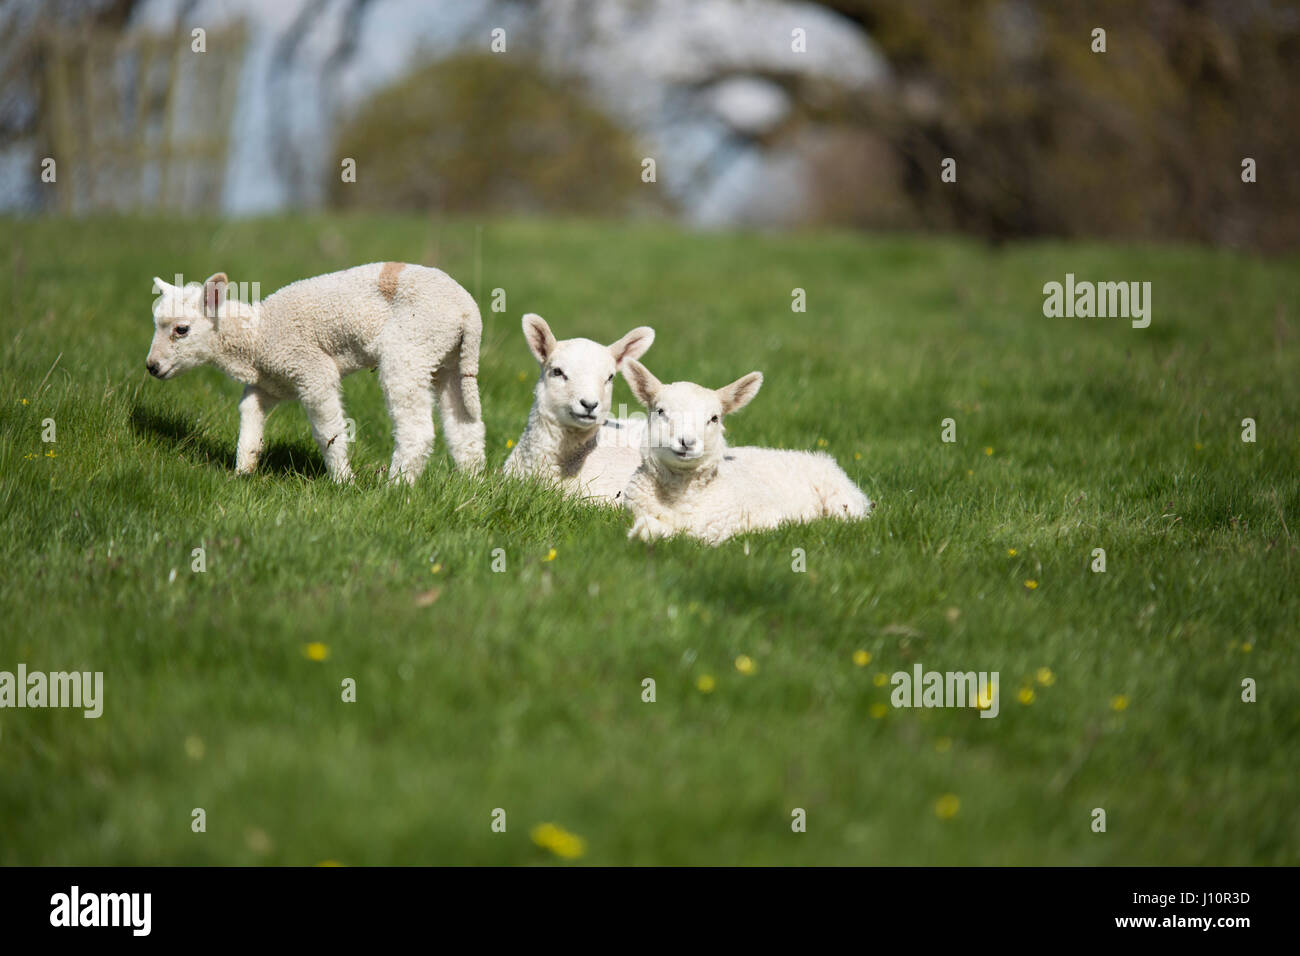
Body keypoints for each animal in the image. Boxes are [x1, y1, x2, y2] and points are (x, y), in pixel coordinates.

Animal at [143, 264, 488, 481]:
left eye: (181, 330)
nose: (151, 367)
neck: (257, 337)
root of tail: (469, 312)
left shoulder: (309, 367)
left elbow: (328, 431)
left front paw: (343, 480)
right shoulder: (271, 383)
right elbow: (249, 414)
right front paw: (243, 471)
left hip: (411, 346)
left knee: (417, 430)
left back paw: (395, 487)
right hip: (449, 358)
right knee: (465, 427)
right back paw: (472, 484)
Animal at [618, 361, 873, 546]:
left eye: (714, 418)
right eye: (660, 411)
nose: (687, 442)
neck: (683, 499)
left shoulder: (767, 520)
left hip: (843, 502)